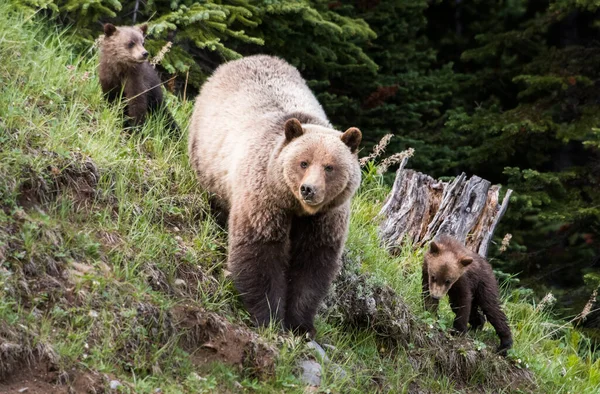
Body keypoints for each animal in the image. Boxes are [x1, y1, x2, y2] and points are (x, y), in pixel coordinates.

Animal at [190, 55, 364, 338]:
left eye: (329, 167)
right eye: (304, 162)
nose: (309, 189)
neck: (297, 208)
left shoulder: (325, 218)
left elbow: (312, 265)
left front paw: (301, 324)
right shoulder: (265, 199)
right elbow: (260, 252)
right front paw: (269, 317)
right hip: (208, 158)